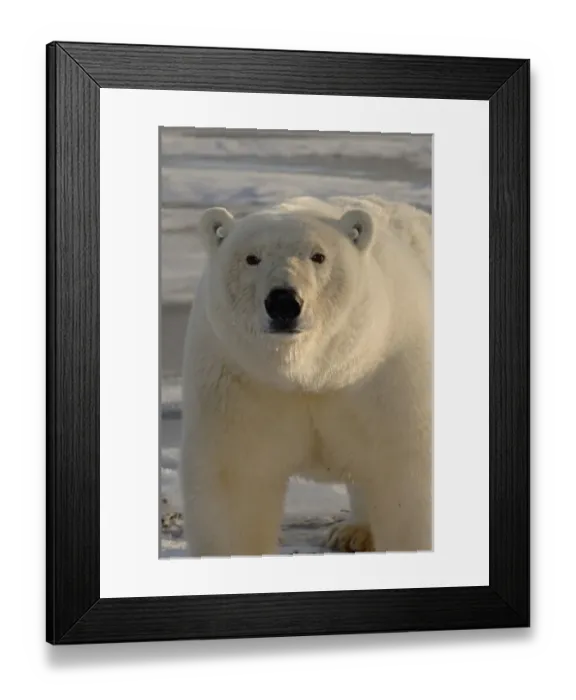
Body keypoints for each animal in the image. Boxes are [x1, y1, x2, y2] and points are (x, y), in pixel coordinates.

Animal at [179, 194, 432, 556]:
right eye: (252, 258)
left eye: (318, 256)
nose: (283, 301)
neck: (313, 372)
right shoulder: (241, 380)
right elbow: (235, 482)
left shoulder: (387, 371)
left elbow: (405, 475)